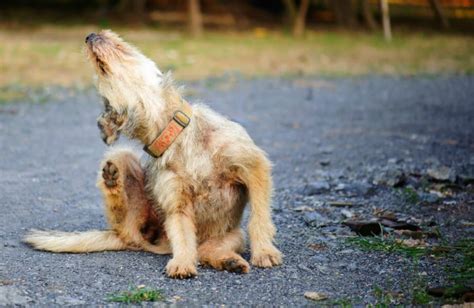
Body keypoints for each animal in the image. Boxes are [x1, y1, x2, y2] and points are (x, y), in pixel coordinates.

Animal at [25, 30, 282, 278]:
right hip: (123, 161)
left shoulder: (254, 168)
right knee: (128, 227)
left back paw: (230, 261)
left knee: (206, 250)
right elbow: (182, 235)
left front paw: (264, 252)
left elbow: (259, 218)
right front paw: (182, 263)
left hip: (232, 236)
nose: (89, 35)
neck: (175, 136)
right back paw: (112, 180)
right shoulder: (176, 202)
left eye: (123, 48)